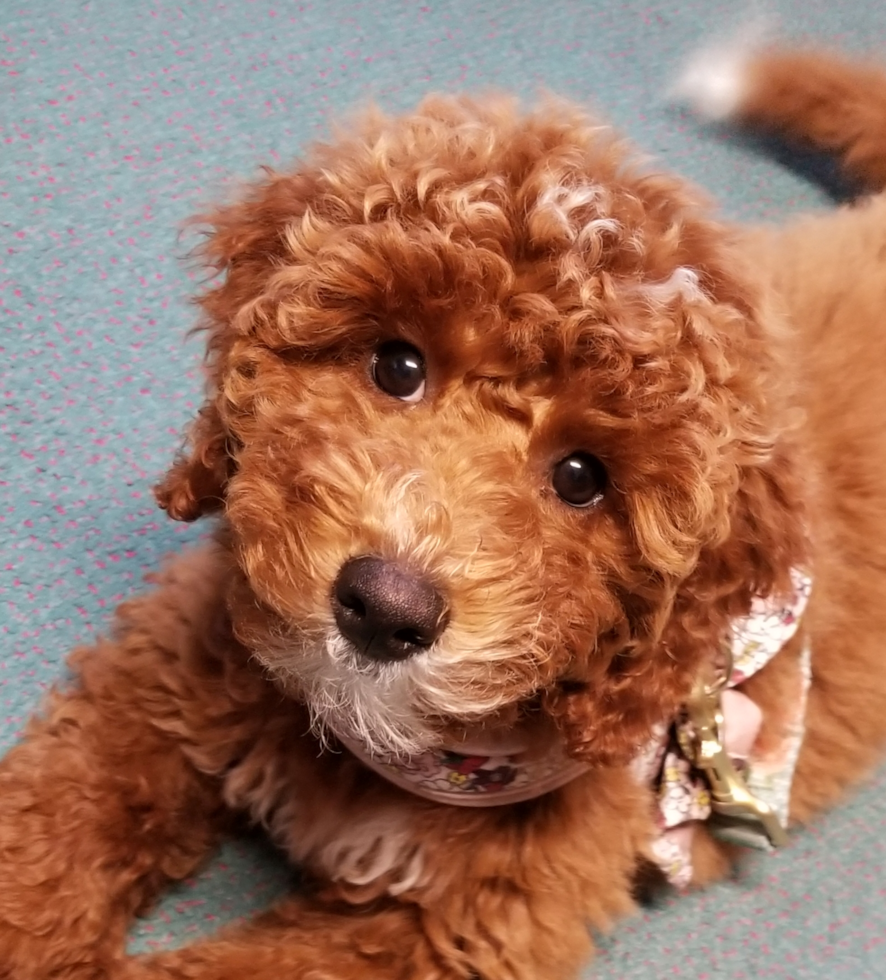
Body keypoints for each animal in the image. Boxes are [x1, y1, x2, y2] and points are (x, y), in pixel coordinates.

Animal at [1, 42, 886, 976]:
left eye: (582, 476)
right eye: (398, 365)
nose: (386, 609)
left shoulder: (456, 927)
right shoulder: (158, 684)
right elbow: (51, 830)